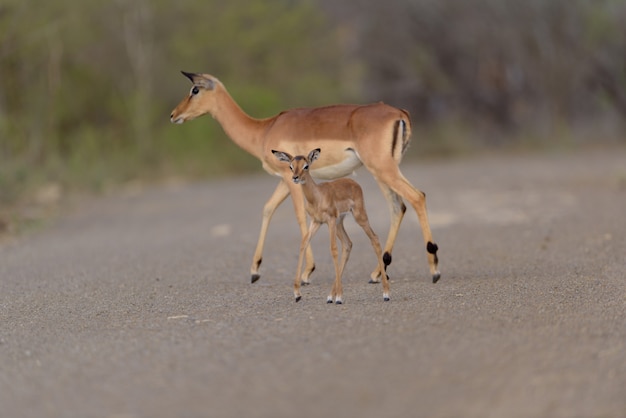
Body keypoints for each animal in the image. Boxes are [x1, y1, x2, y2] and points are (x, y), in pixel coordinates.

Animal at [270, 149, 388, 302]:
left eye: (306, 166)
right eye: (291, 166)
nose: (295, 177)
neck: (317, 197)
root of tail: (353, 182)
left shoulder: (330, 220)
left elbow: (333, 249)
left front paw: (340, 297)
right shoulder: (316, 222)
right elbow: (304, 244)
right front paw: (297, 294)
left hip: (359, 217)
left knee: (374, 239)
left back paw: (386, 294)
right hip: (339, 224)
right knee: (348, 244)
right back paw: (330, 296)